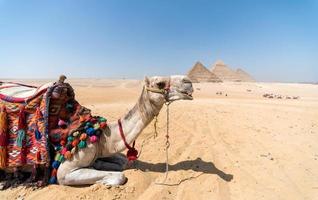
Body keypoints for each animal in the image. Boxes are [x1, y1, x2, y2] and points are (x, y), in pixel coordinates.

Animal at [55, 75, 193, 186]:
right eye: (160, 83)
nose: (188, 81)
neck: (101, 136)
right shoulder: (64, 171)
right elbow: (120, 176)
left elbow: (124, 162)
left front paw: (99, 164)